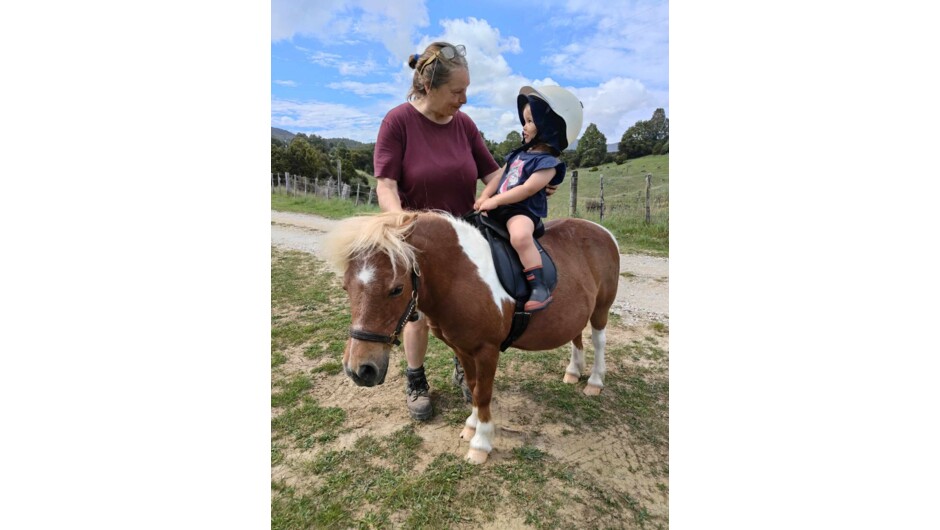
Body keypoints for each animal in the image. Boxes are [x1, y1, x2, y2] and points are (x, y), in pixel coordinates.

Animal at [323, 210, 620, 464]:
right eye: (345, 287)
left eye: (396, 289)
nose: (360, 370)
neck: (460, 275)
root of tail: (603, 231)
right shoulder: (463, 349)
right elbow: (474, 387)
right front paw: (471, 426)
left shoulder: (487, 350)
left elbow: (483, 393)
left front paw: (481, 443)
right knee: (576, 337)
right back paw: (573, 371)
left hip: (601, 309)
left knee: (599, 342)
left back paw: (594, 382)